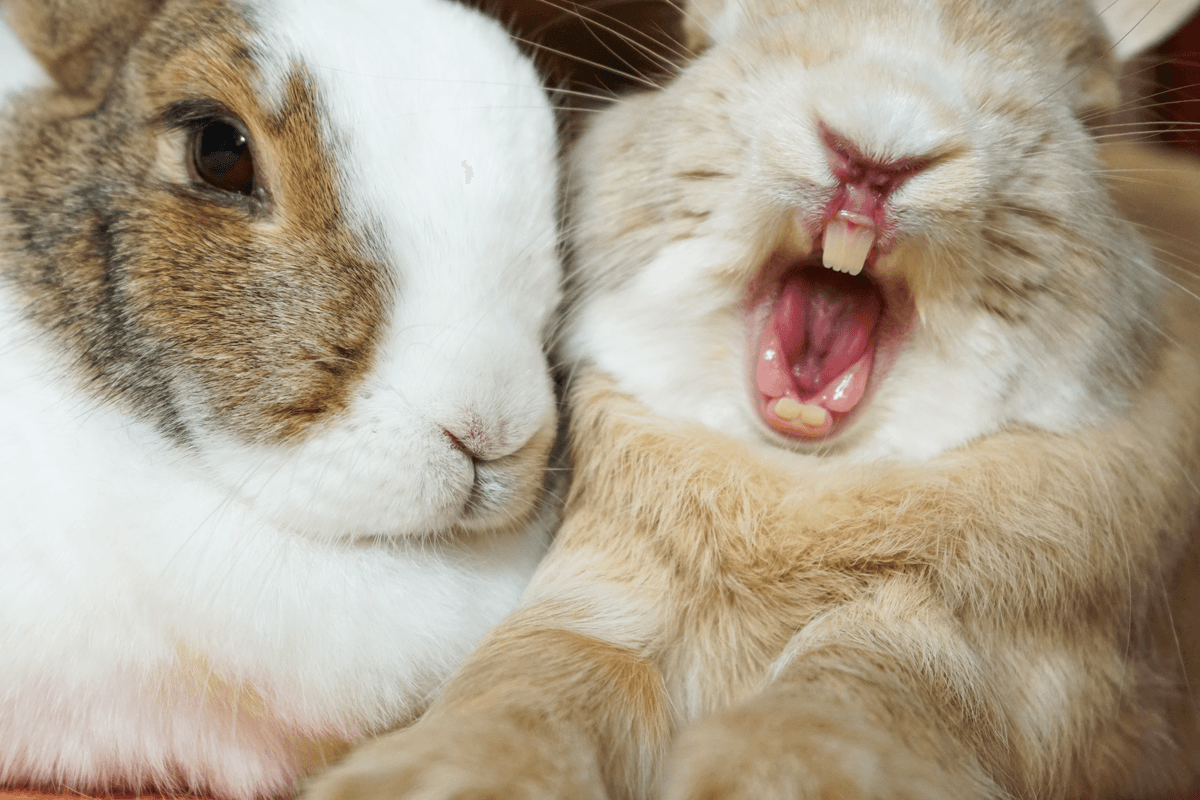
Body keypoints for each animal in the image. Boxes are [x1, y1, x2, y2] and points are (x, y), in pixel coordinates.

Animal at [298, 0, 1200, 797]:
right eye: (705, 42)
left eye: (1083, 107)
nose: (876, 149)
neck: (791, 477)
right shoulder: (593, 598)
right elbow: (539, 680)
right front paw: (435, 776)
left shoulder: (961, 653)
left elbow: (840, 705)